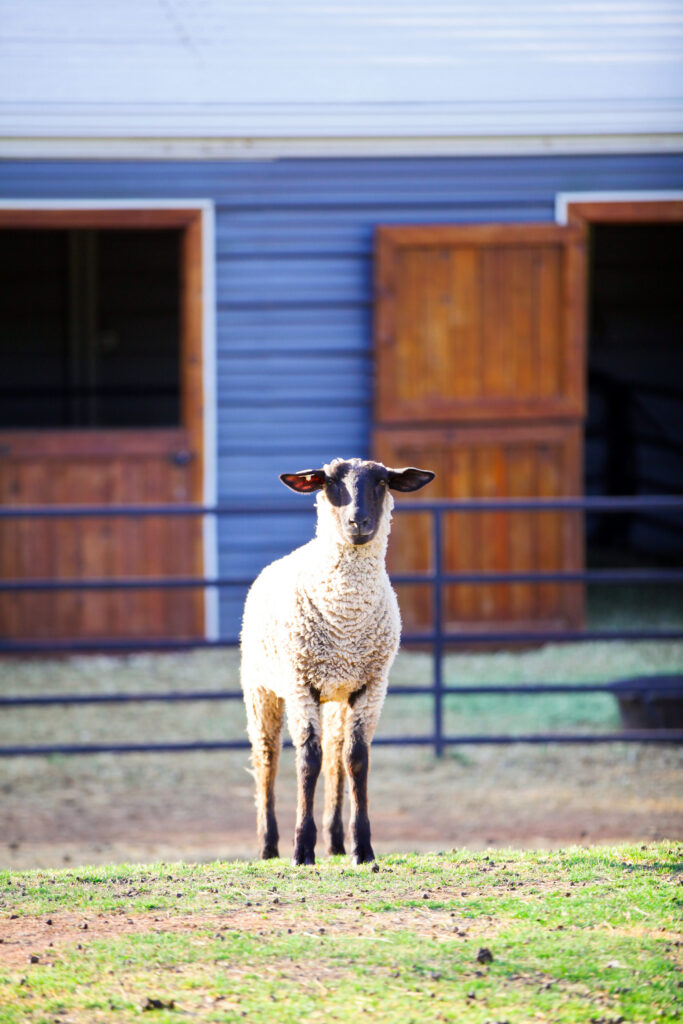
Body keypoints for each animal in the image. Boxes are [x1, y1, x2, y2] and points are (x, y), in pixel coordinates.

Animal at [240, 457, 435, 866]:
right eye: (329, 482)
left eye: (382, 482)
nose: (358, 521)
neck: (345, 618)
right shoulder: (300, 683)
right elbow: (307, 761)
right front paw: (301, 849)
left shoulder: (371, 686)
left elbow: (355, 759)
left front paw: (362, 848)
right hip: (260, 686)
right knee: (267, 758)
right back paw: (268, 846)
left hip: (336, 695)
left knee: (334, 758)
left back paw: (335, 842)